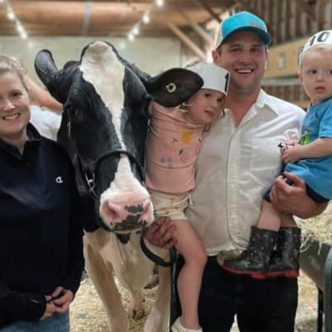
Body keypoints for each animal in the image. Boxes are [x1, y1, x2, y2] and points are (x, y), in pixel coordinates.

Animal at [35, 40, 204, 332]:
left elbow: (157, 320)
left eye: (145, 106)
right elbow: (117, 317)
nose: (129, 207)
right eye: (72, 109)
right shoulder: (89, 251)